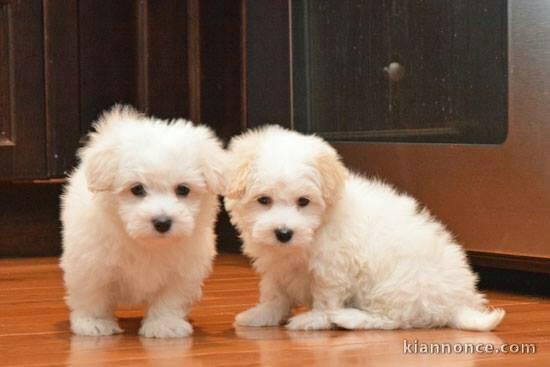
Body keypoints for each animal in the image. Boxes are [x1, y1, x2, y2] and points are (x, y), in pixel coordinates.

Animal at [62, 105, 229, 340]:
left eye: (183, 189)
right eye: (137, 189)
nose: (162, 222)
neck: (146, 242)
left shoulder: (182, 270)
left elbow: (170, 298)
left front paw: (164, 324)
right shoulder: (90, 263)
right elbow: (92, 294)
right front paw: (93, 322)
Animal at [224, 126, 504, 334]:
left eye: (303, 201)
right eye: (263, 200)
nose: (283, 233)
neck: (316, 228)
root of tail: (458, 304)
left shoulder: (332, 267)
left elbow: (325, 296)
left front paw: (314, 320)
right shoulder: (276, 266)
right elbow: (274, 293)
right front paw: (261, 314)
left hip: (395, 285)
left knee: (395, 319)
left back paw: (349, 318)